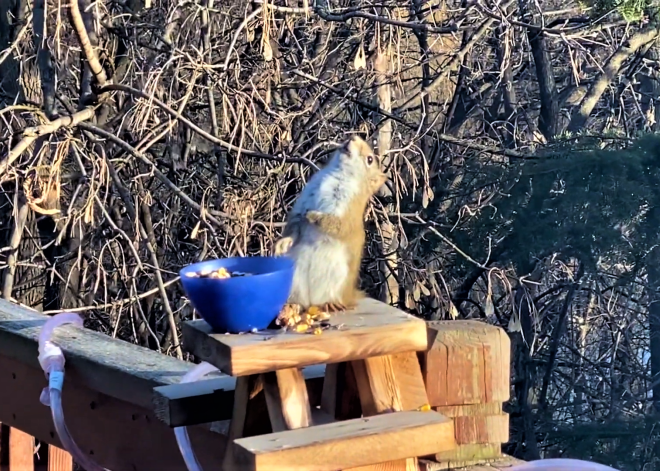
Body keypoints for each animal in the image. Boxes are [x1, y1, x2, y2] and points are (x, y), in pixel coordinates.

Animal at [274, 136, 386, 314]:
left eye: (369, 159)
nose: (352, 138)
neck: (338, 174)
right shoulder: (304, 200)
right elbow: (295, 224)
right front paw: (283, 243)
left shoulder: (348, 212)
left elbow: (336, 225)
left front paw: (312, 215)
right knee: (300, 301)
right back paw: (292, 306)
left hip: (337, 281)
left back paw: (330, 304)